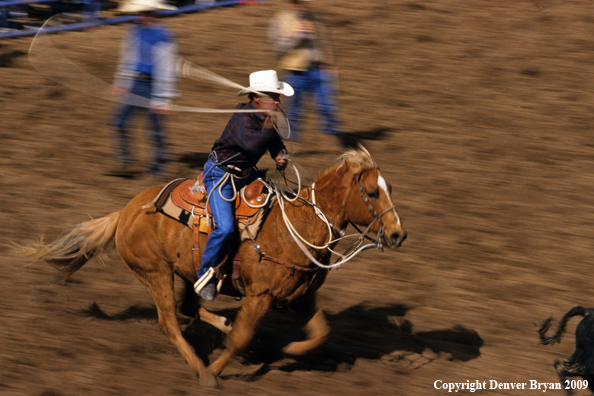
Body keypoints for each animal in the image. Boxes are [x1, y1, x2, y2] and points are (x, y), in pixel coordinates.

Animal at [23, 147, 404, 388]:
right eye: (371, 193)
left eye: (388, 188)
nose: (398, 234)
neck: (295, 226)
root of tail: (126, 212)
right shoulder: (260, 296)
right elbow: (241, 338)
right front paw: (217, 370)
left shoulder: (301, 298)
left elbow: (321, 333)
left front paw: (286, 351)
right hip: (156, 273)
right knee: (170, 322)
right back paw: (202, 370)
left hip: (187, 272)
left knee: (189, 306)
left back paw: (221, 324)